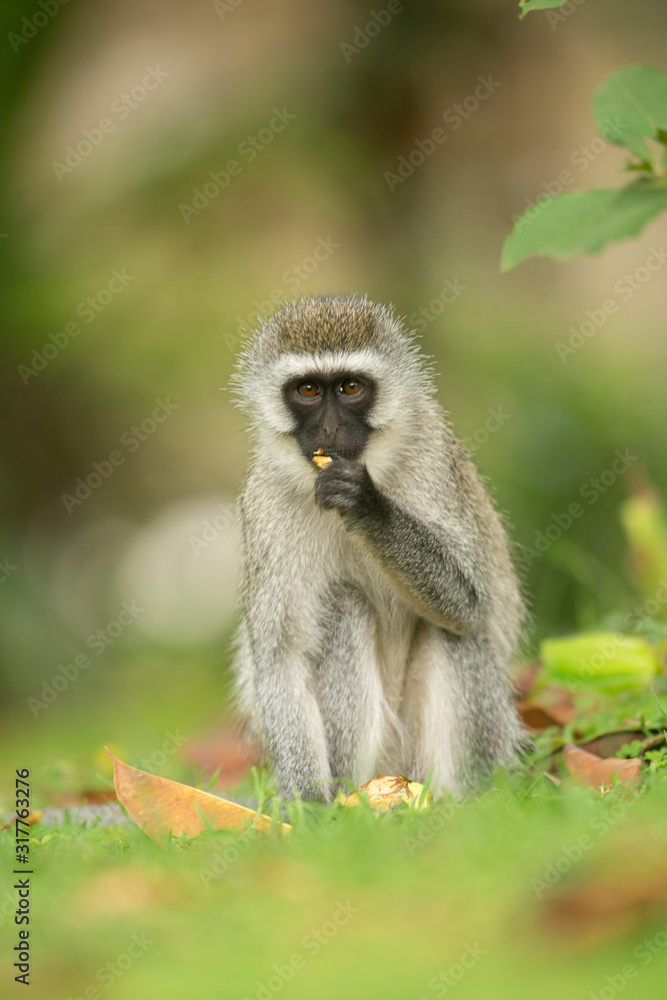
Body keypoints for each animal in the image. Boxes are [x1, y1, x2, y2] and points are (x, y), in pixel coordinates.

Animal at [231, 294, 526, 802]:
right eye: (308, 390)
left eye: (350, 387)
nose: (330, 430)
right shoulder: (265, 505)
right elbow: (281, 656)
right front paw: (307, 804)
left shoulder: (431, 457)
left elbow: (467, 600)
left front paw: (369, 507)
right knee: (343, 608)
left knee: (455, 631)